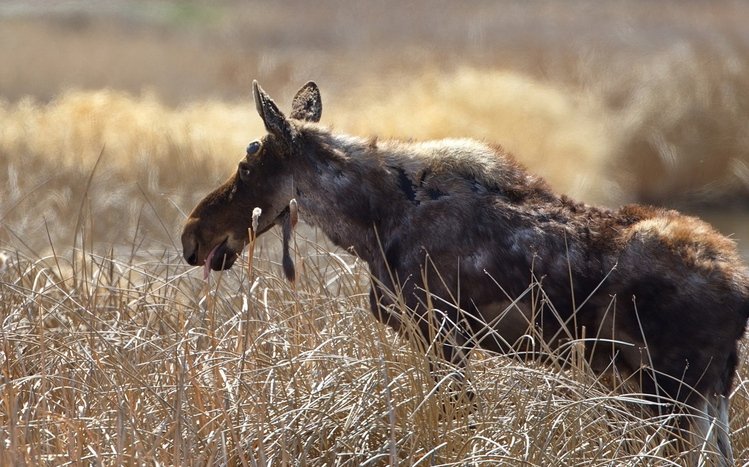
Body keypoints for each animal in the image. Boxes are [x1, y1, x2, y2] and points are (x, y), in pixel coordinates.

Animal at [181, 81, 749, 465]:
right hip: (702, 395)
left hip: (673, 393)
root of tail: (740, 289)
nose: (193, 237)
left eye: (246, 168)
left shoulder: (442, 335)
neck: (372, 222)